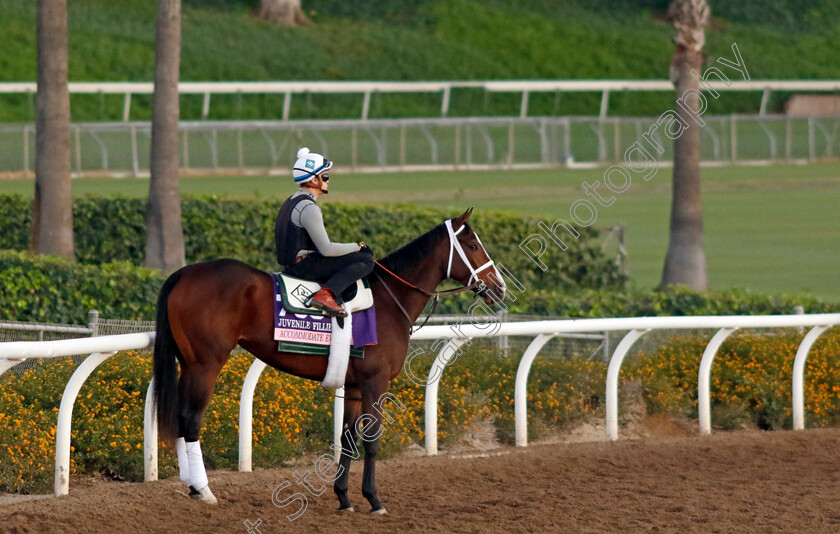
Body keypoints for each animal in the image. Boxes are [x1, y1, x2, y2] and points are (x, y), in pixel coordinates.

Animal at [151, 208, 506, 516]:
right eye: (473, 245)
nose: (499, 287)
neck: (389, 300)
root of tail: (184, 272)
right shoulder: (375, 381)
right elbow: (372, 438)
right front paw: (374, 500)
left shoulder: (354, 386)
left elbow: (347, 439)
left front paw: (344, 498)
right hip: (206, 364)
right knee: (191, 420)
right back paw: (203, 489)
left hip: (188, 364)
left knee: (181, 419)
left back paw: (192, 486)